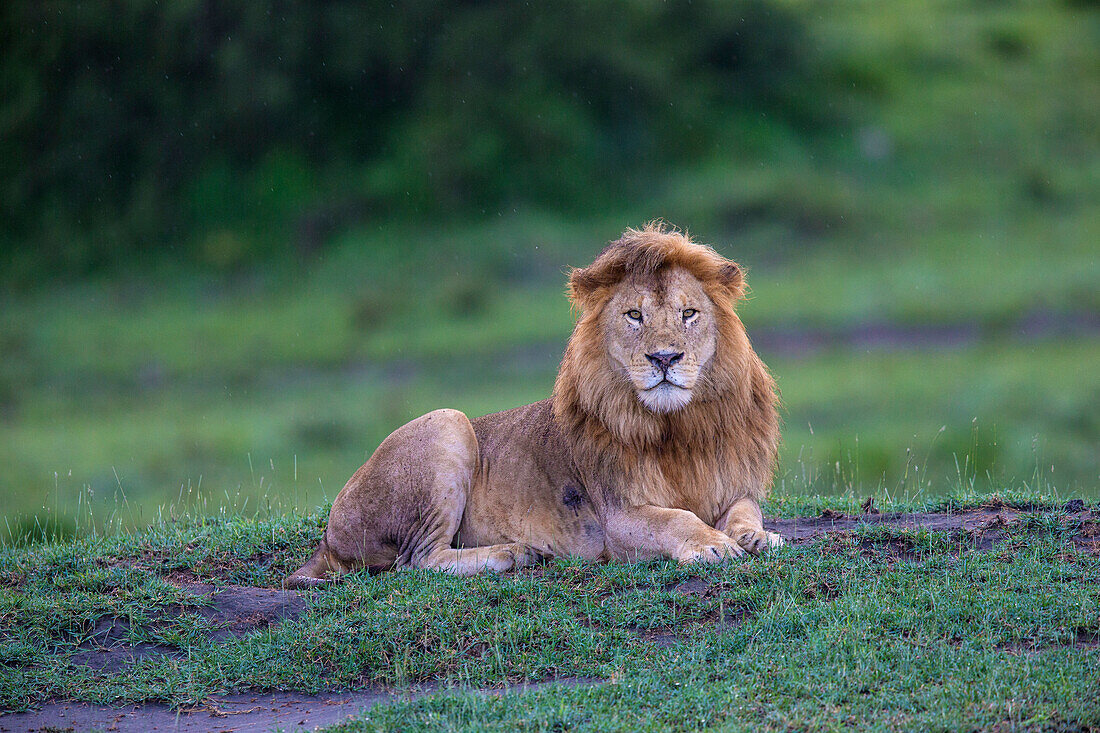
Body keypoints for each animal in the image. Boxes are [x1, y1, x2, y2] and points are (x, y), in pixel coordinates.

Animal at [283, 220, 783, 585]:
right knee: (418, 560)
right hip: (447, 422)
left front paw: (757, 537)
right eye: (634, 316)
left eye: (688, 314)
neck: (677, 428)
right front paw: (713, 543)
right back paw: (514, 553)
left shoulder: (730, 485)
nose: (664, 357)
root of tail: (326, 539)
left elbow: (745, 510)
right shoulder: (618, 519)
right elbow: (676, 519)